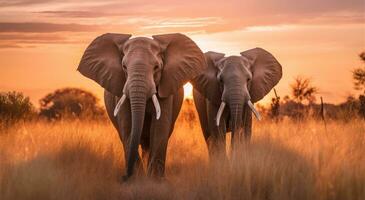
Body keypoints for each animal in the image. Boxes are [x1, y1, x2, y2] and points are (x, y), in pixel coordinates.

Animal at [77, 32, 206, 180]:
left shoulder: (166, 89)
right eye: (124, 67)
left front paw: (154, 180)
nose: (124, 177)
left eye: (156, 67)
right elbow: (128, 128)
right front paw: (136, 180)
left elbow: (159, 129)